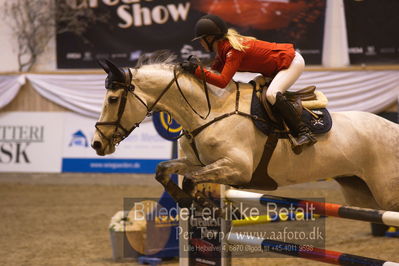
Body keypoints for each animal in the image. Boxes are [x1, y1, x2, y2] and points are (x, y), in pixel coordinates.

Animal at [92, 53, 399, 219]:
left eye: (113, 98)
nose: (97, 144)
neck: (208, 112)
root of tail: (392, 127)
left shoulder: (237, 168)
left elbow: (191, 179)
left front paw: (197, 202)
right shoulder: (202, 163)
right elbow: (163, 169)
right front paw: (185, 201)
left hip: (386, 194)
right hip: (360, 193)